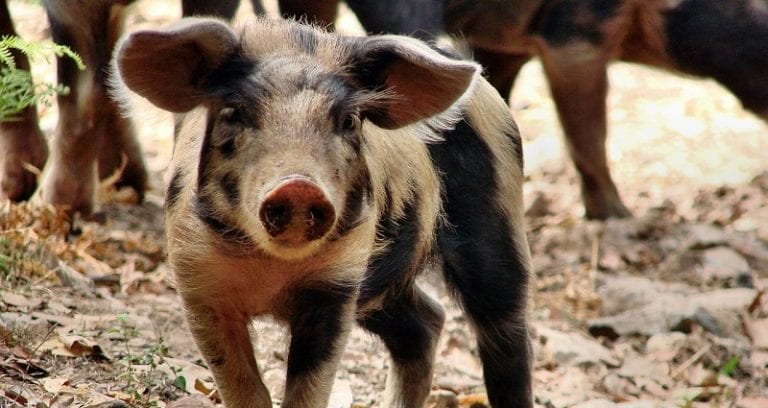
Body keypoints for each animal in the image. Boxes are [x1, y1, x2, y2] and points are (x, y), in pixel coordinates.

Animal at [114, 16, 533, 407]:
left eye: (348, 121)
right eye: (234, 113)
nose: (299, 185)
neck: (270, 272)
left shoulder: (337, 285)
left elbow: (308, 389)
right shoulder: (197, 281)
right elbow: (243, 387)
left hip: (497, 223)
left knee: (506, 339)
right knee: (426, 322)